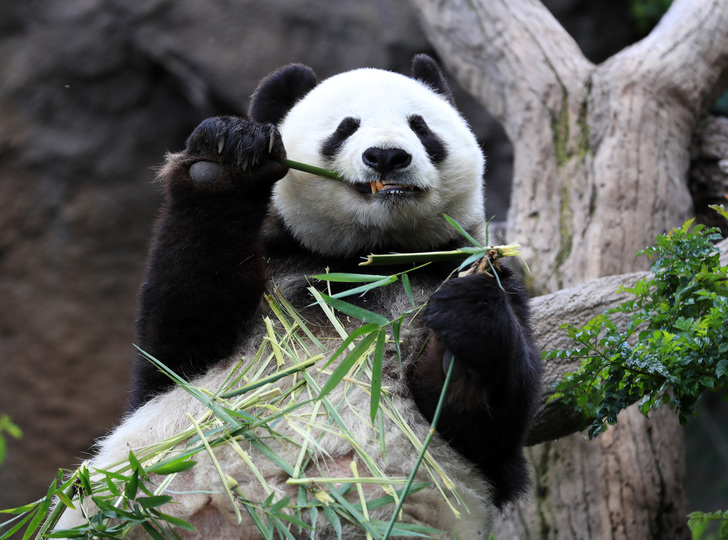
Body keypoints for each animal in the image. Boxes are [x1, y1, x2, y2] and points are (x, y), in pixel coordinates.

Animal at [57, 56, 544, 540]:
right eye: (346, 127)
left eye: (420, 127)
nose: (387, 156)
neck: (369, 259)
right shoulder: (278, 270)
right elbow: (178, 342)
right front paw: (224, 156)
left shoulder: (462, 278)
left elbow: (482, 428)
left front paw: (468, 314)